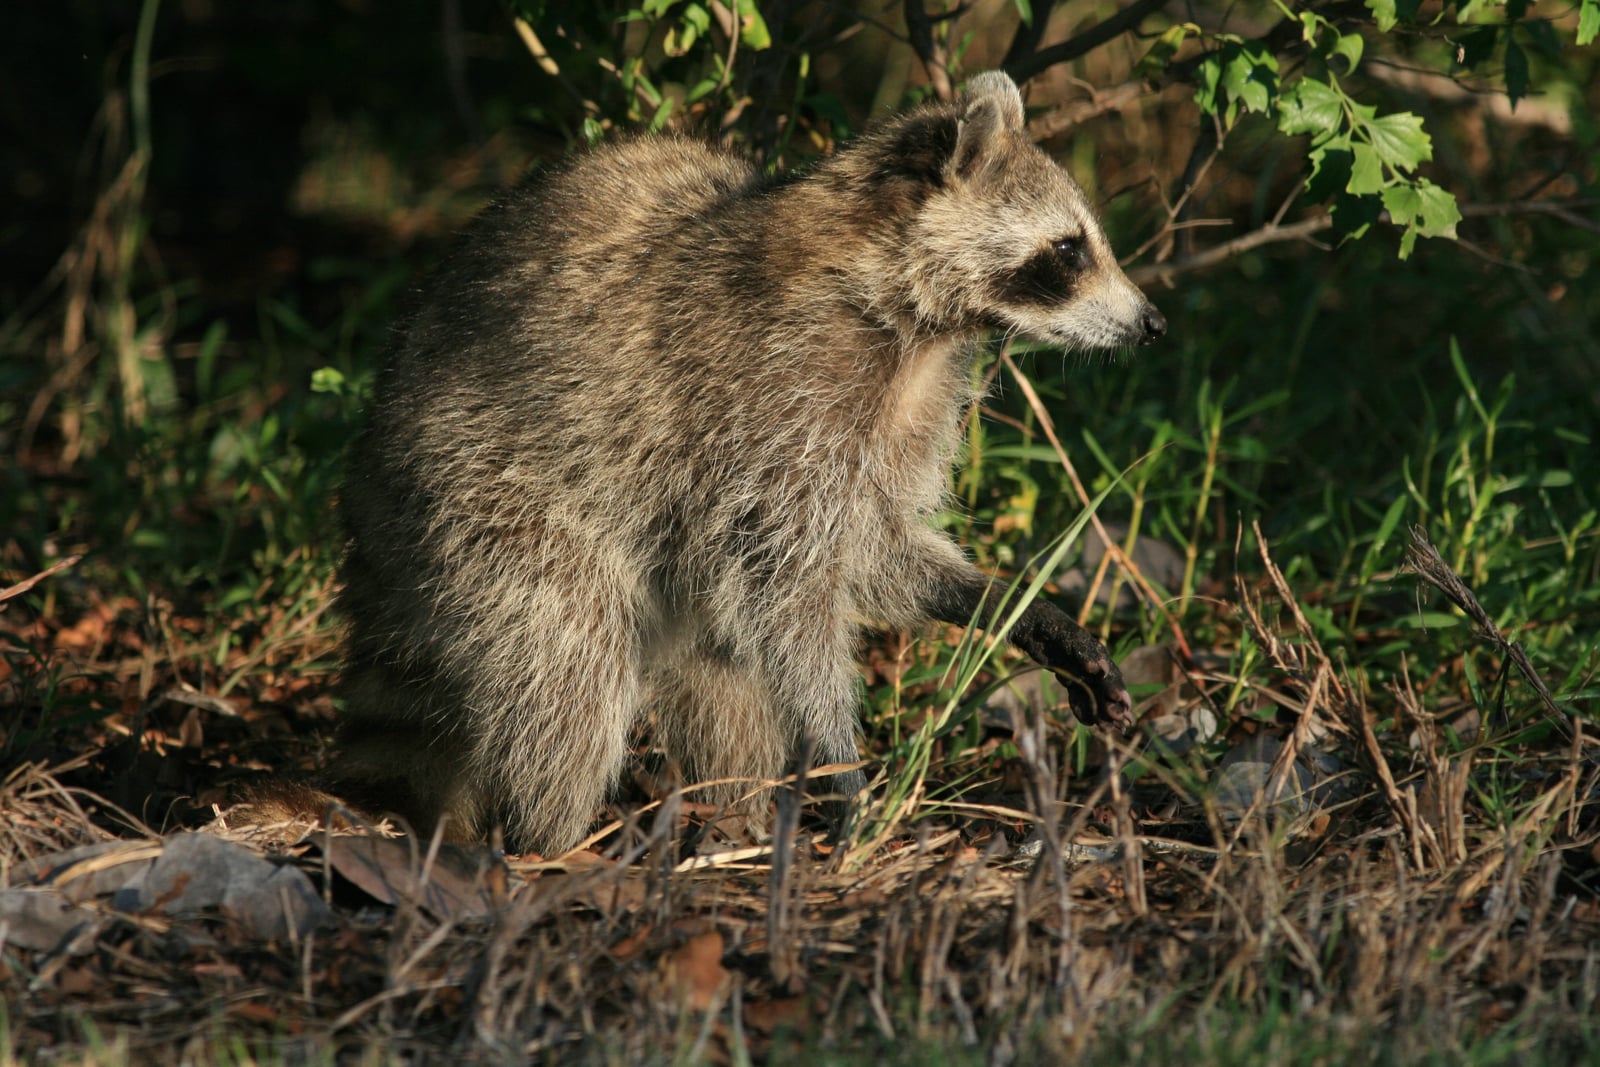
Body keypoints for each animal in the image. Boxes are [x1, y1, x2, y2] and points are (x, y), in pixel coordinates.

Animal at [327, 71, 1164, 854]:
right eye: (1070, 249)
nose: (1153, 322)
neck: (911, 320)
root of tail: (370, 478)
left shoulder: (907, 408)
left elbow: (872, 545)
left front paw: (1010, 604)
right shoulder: (776, 394)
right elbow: (789, 582)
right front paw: (838, 756)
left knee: (716, 677)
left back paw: (735, 815)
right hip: (483, 503)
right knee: (570, 669)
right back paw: (554, 841)